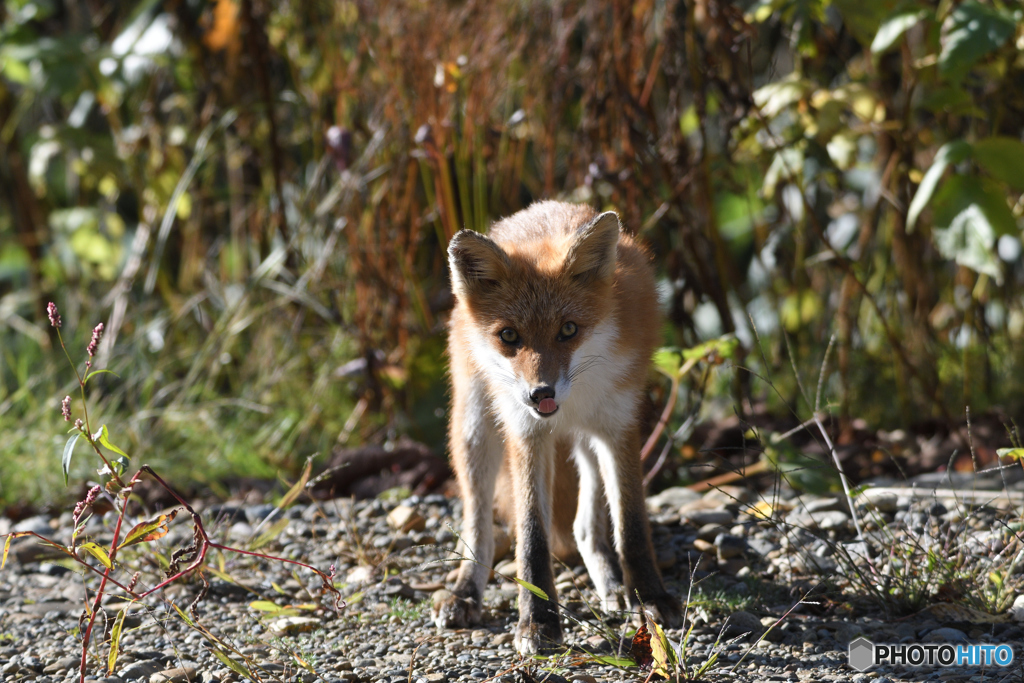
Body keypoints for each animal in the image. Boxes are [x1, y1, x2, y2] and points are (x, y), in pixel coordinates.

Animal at [432, 200, 679, 655]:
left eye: (568, 330)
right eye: (509, 336)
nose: (540, 393)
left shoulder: (619, 425)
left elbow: (631, 526)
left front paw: (650, 597)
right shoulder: (526, 434)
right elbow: (532, 537)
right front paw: (538, 619)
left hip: (588, 440)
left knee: (585, 527)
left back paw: (611, 584)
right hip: (475, 431)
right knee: (478, 528)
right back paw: (464, 592)